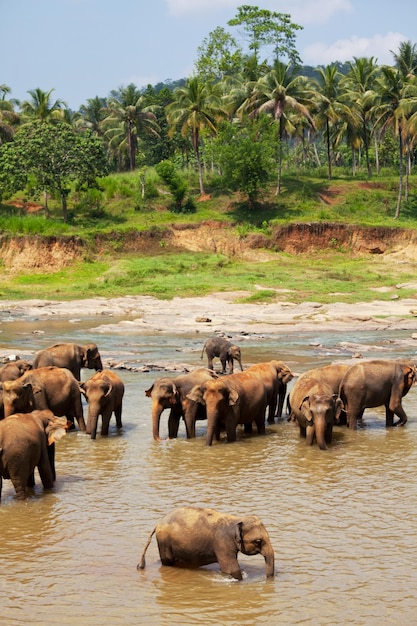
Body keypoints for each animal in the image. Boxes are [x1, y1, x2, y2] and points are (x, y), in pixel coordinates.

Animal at [136, 504, 274, 576]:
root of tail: (158, 523)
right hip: (164, 542)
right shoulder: (222, 542)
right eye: (258, 541)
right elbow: (231, 569)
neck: (236, 519)